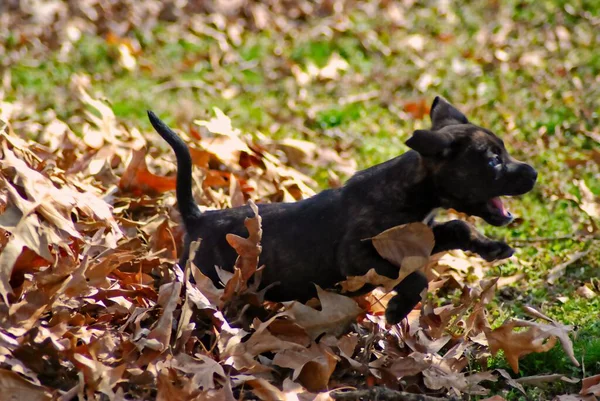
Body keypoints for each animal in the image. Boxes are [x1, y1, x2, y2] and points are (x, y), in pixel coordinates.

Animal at [148, 97, 536, 324]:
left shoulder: (421, 235)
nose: (533, 173)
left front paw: (492, 248)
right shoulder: (357, 257)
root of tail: (198, 217)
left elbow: (458, 227)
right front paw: (398, 309)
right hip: (204, 280)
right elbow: (415, 277)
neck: (411, 192)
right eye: (492, 160)